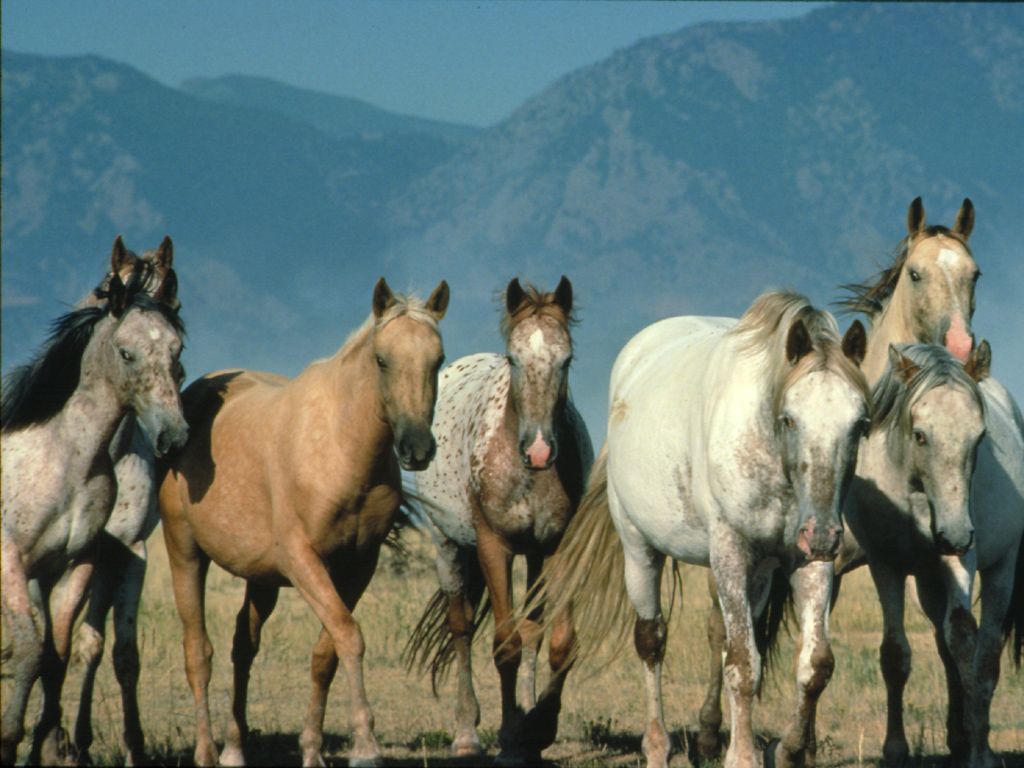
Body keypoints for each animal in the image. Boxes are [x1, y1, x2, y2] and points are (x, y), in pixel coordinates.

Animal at [1, 271, 188, 765]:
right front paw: (9, 741)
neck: (66, 457)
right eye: (126, 353)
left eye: (177, 351)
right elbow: (29, 651)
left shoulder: (75, 564)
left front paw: (43, 745)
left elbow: (56, 656)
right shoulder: (10, 561)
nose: (174, 437)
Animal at [157, 277, 449, 767]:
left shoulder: (357, 567)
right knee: (198, 652)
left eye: (439, 360)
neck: (340, 448)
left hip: (260, 578)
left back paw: (234, 748)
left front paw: (312, 750)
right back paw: (206, 751)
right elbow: (349, 636)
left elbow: (325, 654)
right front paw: (366, 746)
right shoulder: (304, 562)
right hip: (185, 554)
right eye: (382, 360)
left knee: (243, 647)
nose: (417, 448)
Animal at [404, 276, 593, 763]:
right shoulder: (494, 547)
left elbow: (559, 644)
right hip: (449, 548)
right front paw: (509, 740)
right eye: (514, 358)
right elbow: (504, 645)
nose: (540, 450)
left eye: (568, 359)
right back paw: (467, 735)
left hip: (535, 557)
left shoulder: (557, 547)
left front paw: (537, 729)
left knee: (533, 631)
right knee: (462, 628)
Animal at [525, 290, 870, 768]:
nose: (822, 534)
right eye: (789, 419)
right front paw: (742, 757)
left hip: (759, 573)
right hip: (639, 550)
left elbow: (815, 664)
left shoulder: (806, 560)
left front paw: (787, 749)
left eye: (860, 424)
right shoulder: (728, 550)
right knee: (651, 640)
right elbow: (742, 664)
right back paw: (657, 745)